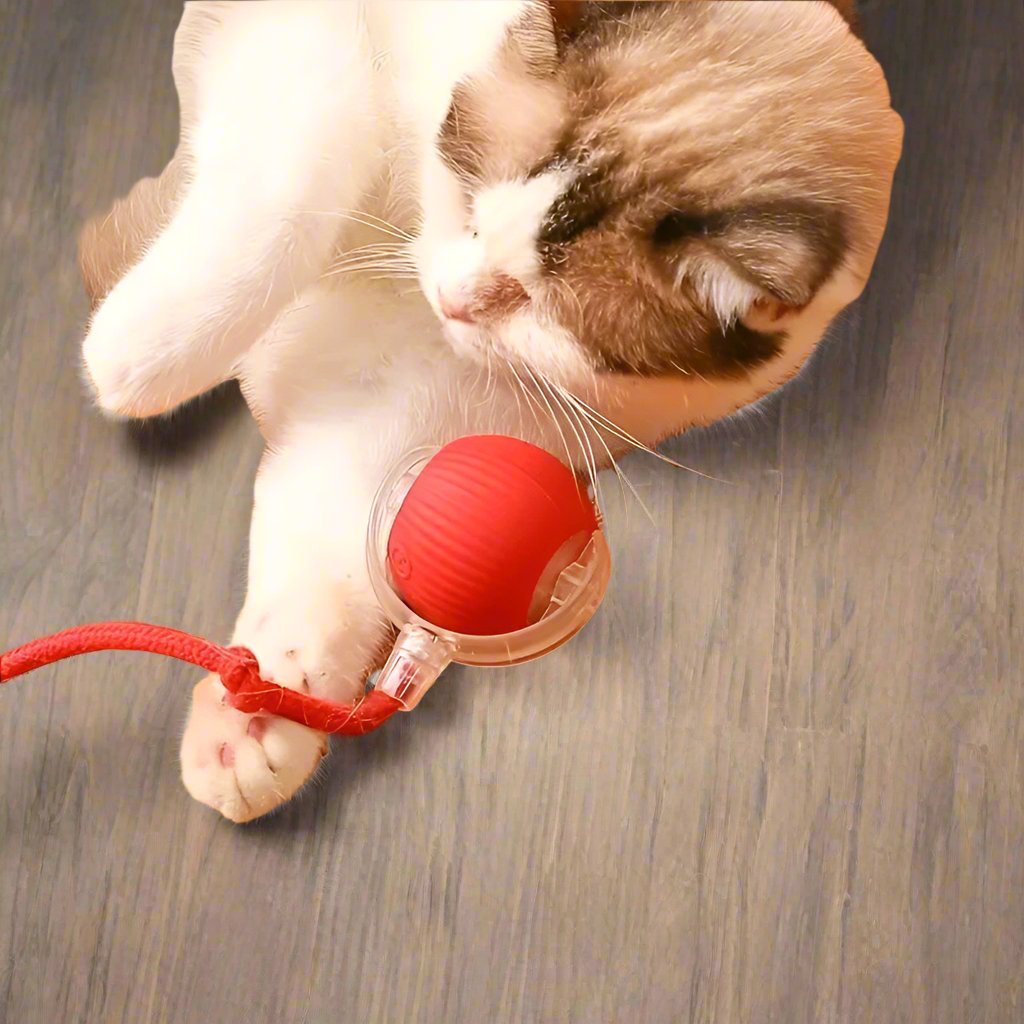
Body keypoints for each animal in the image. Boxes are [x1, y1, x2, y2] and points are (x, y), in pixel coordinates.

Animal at [75, 0, 901, 815]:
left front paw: (258, 714)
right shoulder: (311, 30)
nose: (452, 299)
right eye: (470, 205)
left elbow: (325, 563)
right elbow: (297, 172)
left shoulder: (387, 427)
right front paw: (142, 351)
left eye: (540, 305)